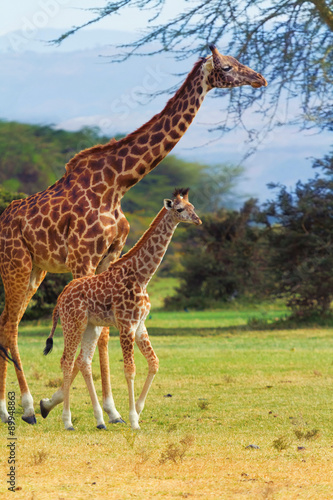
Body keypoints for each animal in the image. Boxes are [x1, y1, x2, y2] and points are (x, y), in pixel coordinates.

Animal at [39, 188, 200, 430]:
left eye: (193, 207)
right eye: (180, 209)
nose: (198, 220)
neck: (142, 277)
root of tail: (60, 299)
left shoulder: (140, 324)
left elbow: (154, 362)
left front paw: (139, 410)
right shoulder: (126, 325)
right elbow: (129, 369)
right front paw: (133, 419)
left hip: (91, 326)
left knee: (83, 361)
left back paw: (99, 420)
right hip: (73, 324)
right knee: (66, 361)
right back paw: (67, 421)